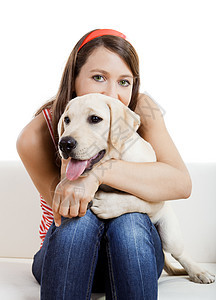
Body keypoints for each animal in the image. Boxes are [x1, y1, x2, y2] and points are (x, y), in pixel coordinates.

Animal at [57, 93, 214, 284]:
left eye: (95, 119)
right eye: (67, 119)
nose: (64, 144)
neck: (116, 157)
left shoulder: (157, 198)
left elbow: (135, 200)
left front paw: (108, 204)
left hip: (170, 235)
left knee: (180, 253)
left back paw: (198, 271)